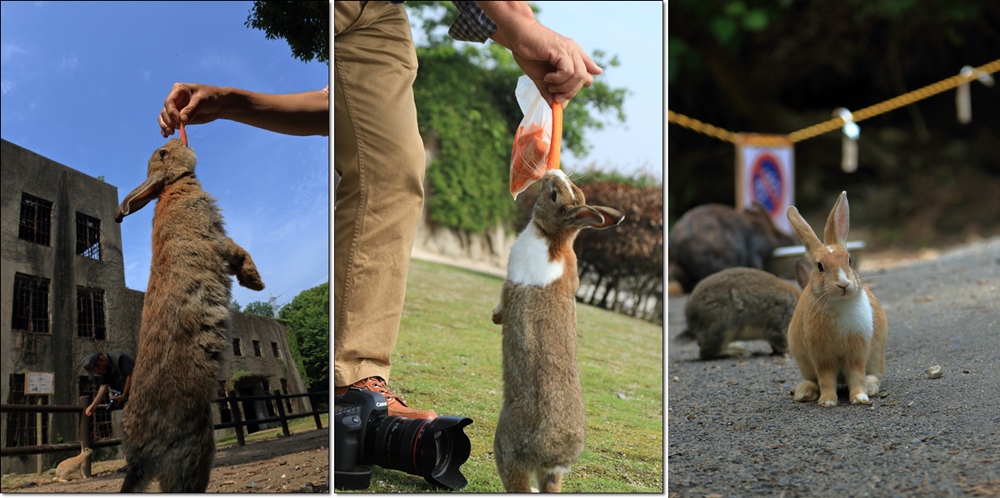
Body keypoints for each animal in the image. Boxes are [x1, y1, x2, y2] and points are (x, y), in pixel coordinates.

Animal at [114, 138, 264, 492]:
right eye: (163, 154)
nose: (177, 140)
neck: (172, 186)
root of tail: (140, 458)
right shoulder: (215, 236)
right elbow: (237, 252)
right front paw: (256, 282)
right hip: (195, 449)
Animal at [488, 169, 620, 492]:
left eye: (553, 195)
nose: (551, 173)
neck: (553, 237)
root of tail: (554, 454)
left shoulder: (511, 284)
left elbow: (504, 299)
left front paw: (496, 318)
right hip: (549, 471)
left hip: (507, 446)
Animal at [784, 193, 888, 406]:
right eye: (819, 266)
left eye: (849, 260)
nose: (843, 284)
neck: (839, 304)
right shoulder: (822, 356)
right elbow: (826, 378)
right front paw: (828, 402)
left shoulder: (857, 350)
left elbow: (856, 374)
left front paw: (860, 397)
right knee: (813, 380)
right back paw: (804, 392)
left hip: (877, 356)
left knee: (875, 375)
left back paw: (870, 387)